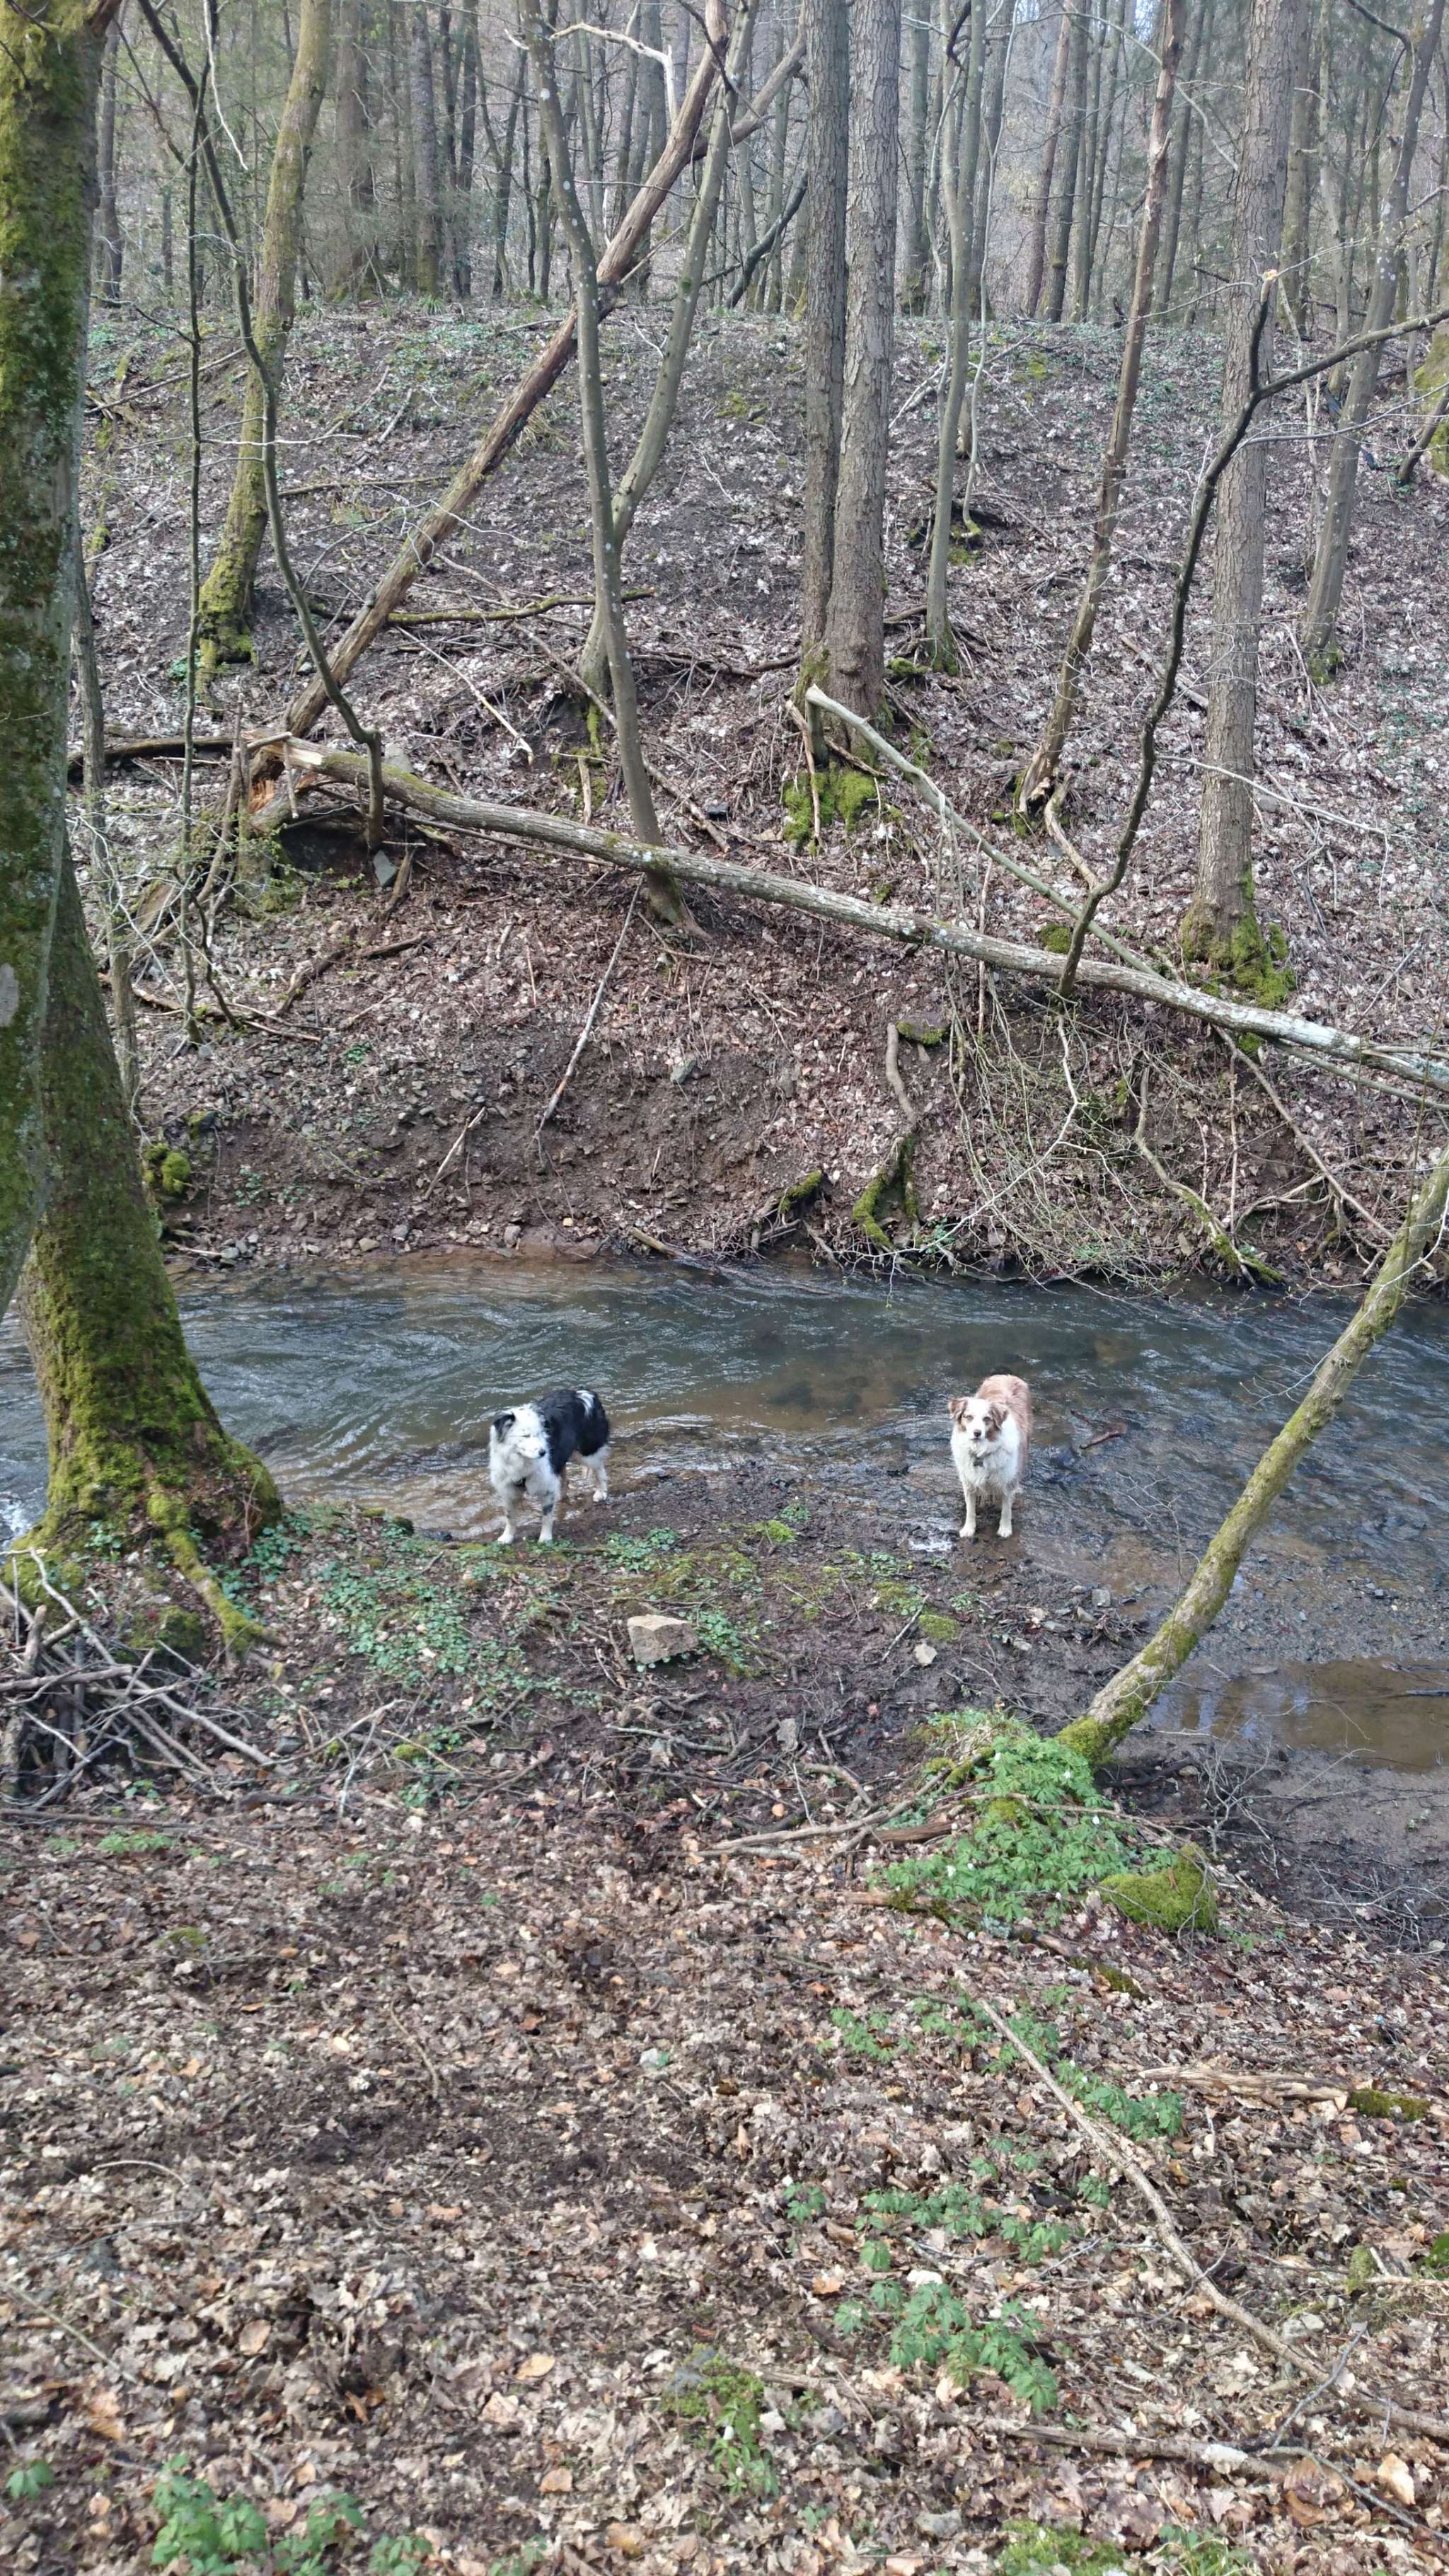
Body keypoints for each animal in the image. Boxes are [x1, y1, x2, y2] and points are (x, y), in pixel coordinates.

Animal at [488, 1388, 611, 1545]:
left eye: (539, 1433)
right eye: (525, 1436)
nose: (543, 1452)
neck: (521, 1460)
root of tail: (584, 1393)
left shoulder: (546, 1483)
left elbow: (546, 1517)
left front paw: (545, 1538)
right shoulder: (508, 1488)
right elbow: (510, 1518)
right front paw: (507, 1537)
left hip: (587, 1452)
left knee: (599, 1469)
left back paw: (601, 1492)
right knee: (565, 1478)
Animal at [948, 1373, 1031, 1541]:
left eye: (987, 1419)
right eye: (968, 1417)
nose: (977, 1433)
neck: (981, 1451)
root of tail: (1007, 1375)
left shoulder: (1007, 1481)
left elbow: (1006, 1509)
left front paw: (1005, 1529)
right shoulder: (968, 1481)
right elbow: (970, 1509)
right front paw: (969, 1529)